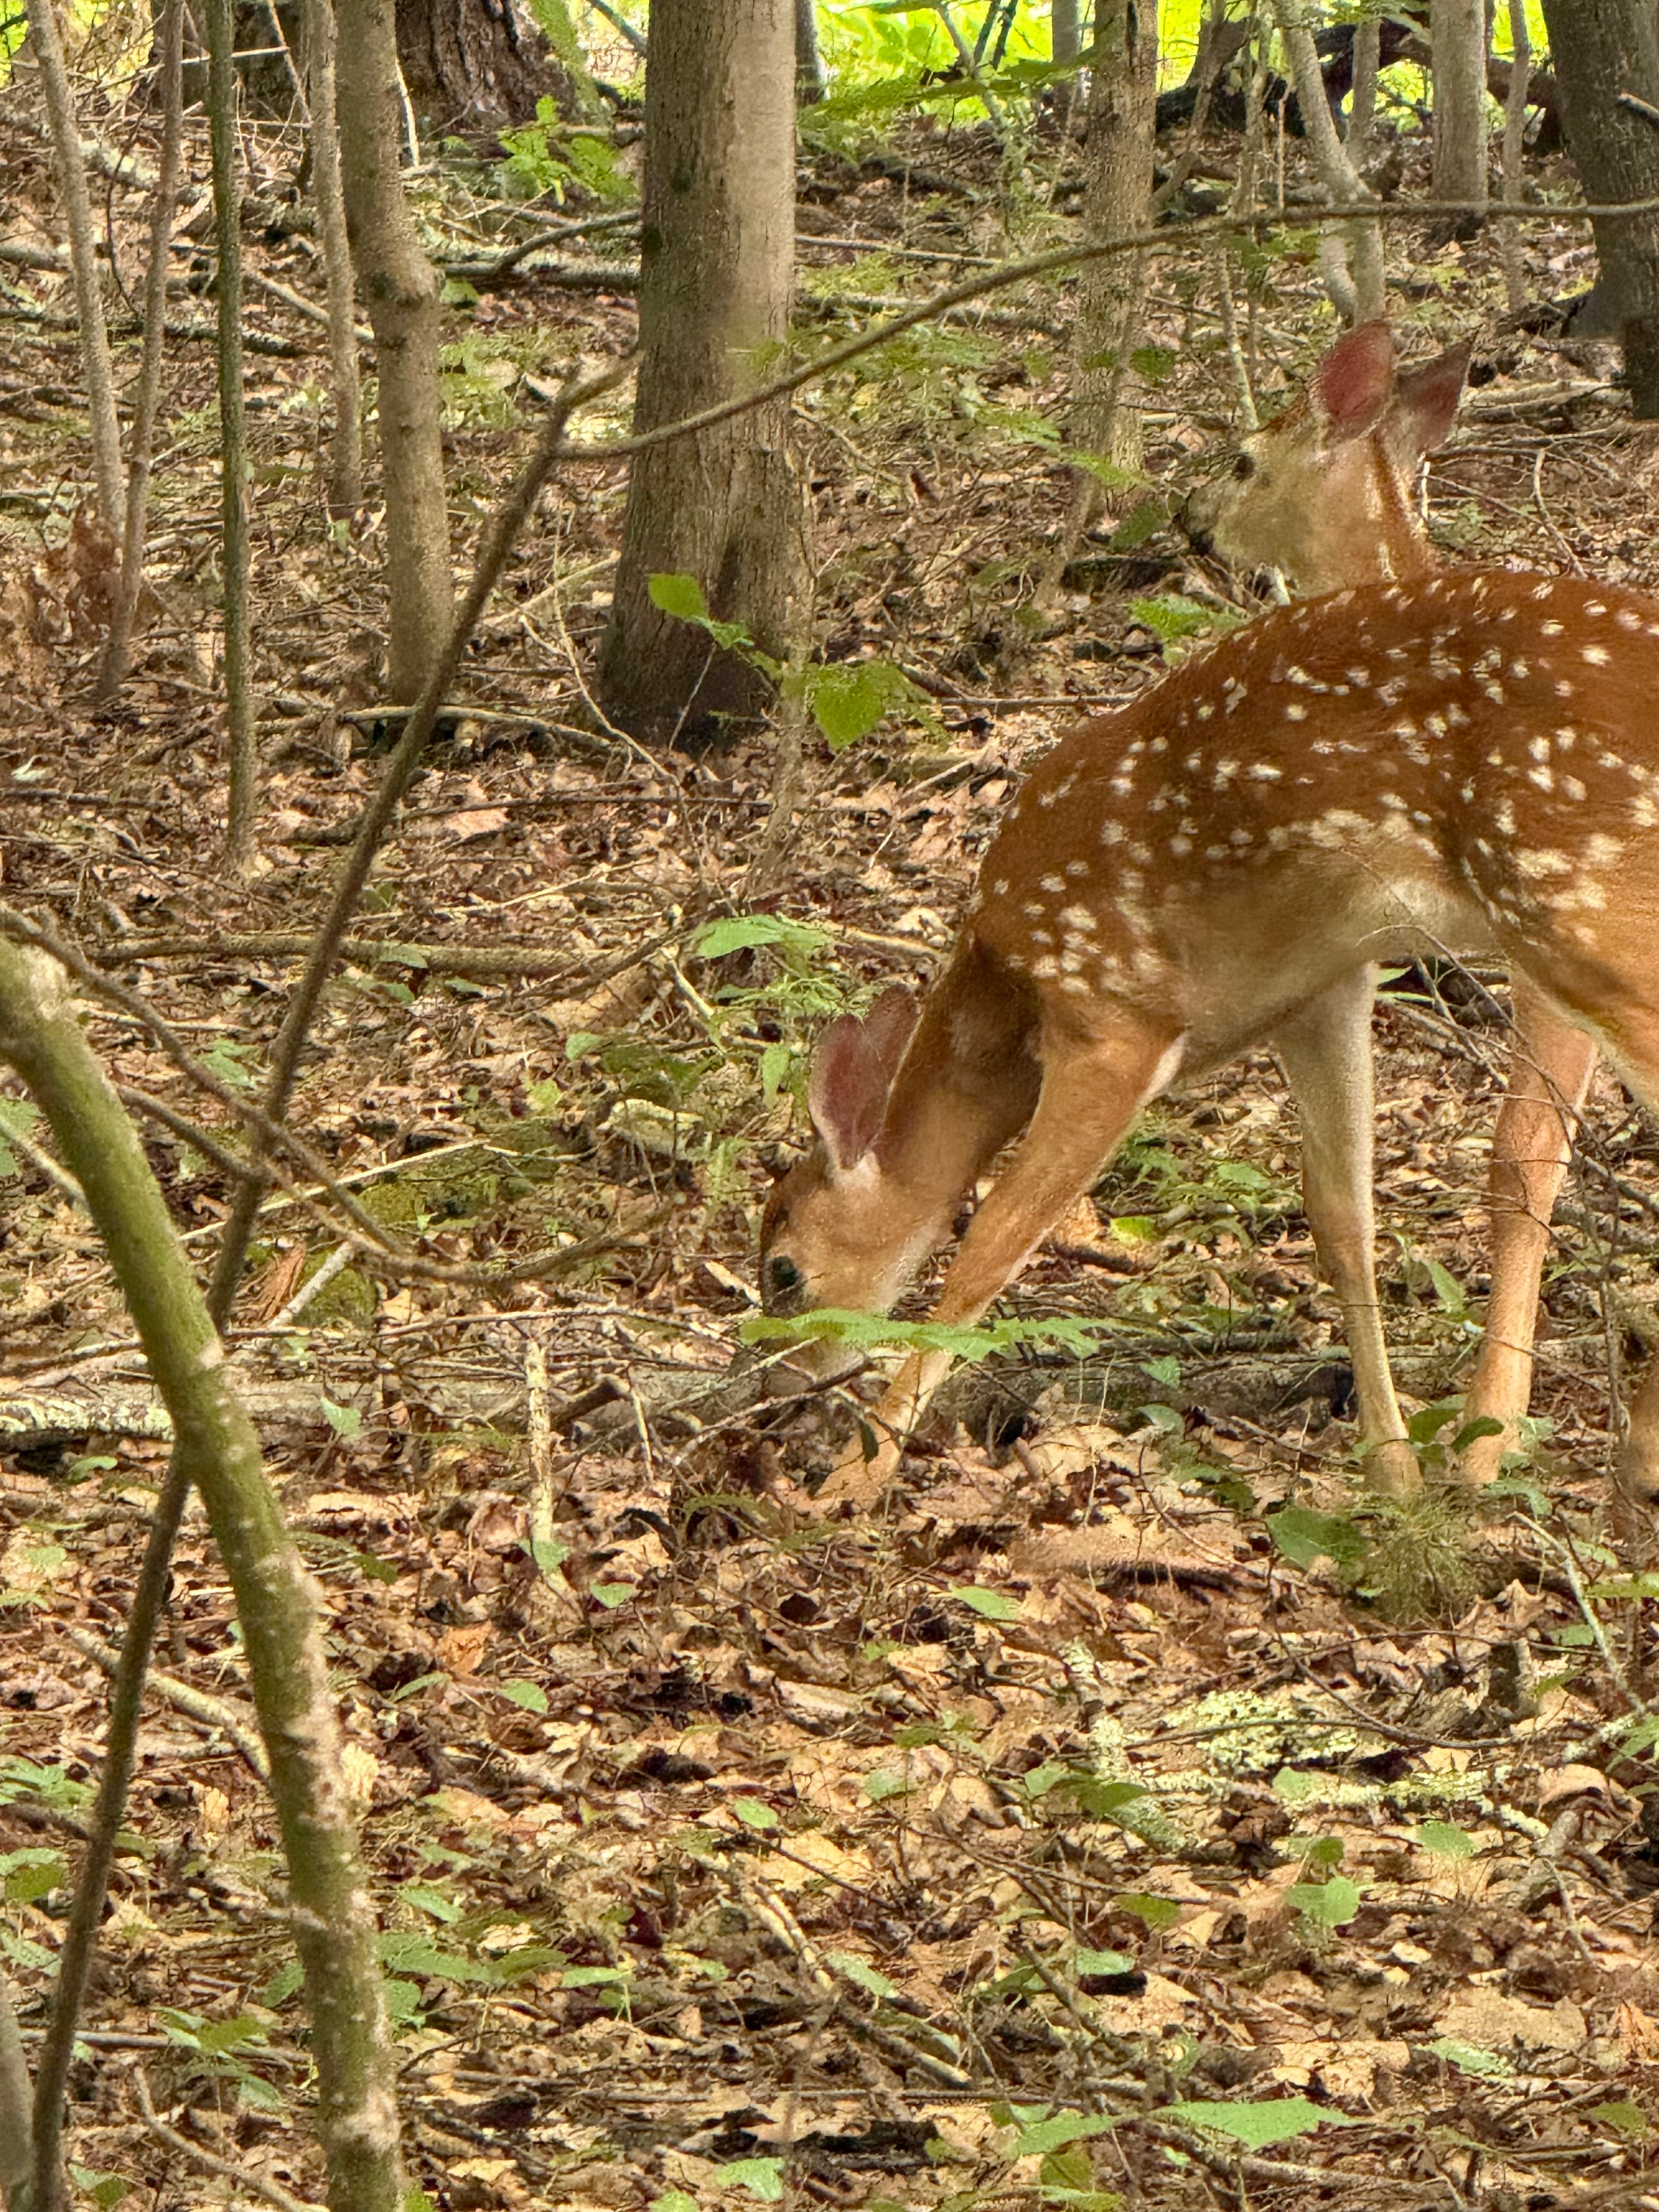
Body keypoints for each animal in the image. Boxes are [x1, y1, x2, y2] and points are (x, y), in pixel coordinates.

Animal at [761, 332, 1646, 1511]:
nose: (778, 1391)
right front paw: (1396, 1471)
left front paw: (858, 1482)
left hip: (1569, 904)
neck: (999, 982)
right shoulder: (1318, 988)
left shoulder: (1117, 1016)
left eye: (783, 1269)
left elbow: (990, 1245)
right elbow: (1343, 1220)